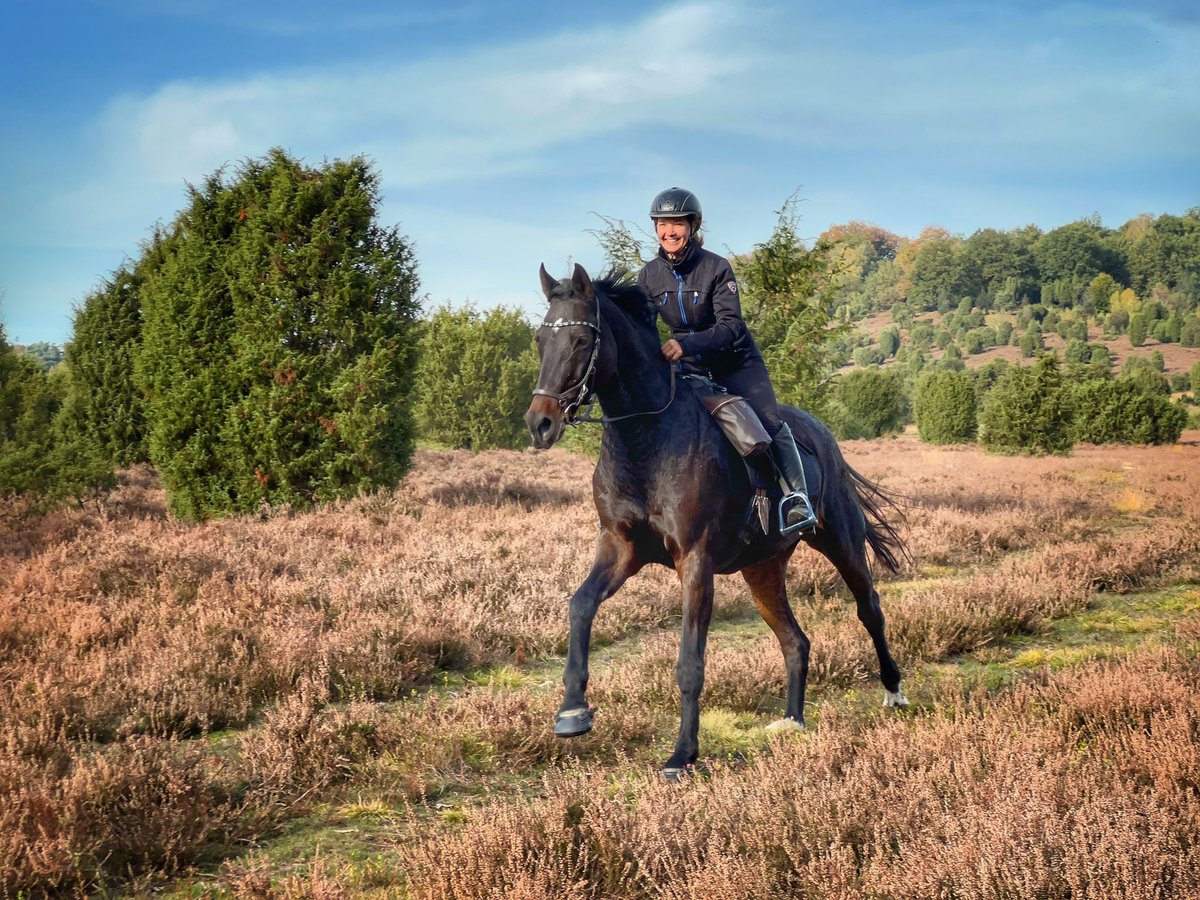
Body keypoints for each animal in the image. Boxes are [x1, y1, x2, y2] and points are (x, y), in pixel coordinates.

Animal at [525, 264, 907, 777]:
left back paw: (893, 691)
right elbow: (580, 605)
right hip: (762, 569)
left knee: (870, 609)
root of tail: (822, 432)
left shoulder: (695, 561)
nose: (540, 424)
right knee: (795, 641)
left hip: (840, 540)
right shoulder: (621, 547)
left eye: (583, 340)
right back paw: (792, 720)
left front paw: (682, 754)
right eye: (540, 339)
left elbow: (690, 662)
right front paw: (571, 711)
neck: (645, 439)